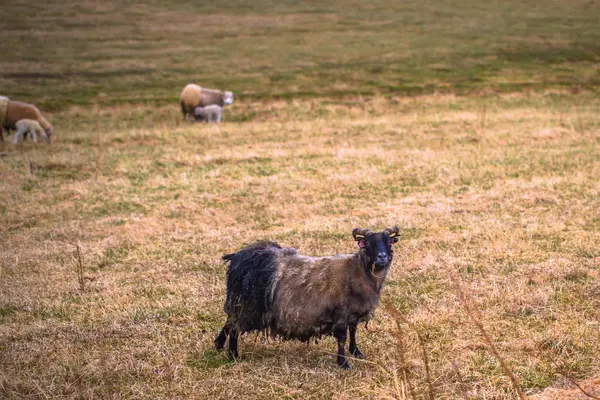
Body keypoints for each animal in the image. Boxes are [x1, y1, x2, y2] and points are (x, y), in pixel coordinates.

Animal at [214, 227, 398, 368]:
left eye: (388, 242)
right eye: (368, 243)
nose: (382, 257)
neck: (358, 270)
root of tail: (239, 257)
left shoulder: (354, 312)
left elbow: (353, 332)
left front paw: (356, 352)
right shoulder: (340, 313)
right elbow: (342, 338)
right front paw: (343, 363)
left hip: (239, 303)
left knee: (229, 322)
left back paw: (218, 344)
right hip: (246, 306)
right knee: (234, 327)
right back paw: (233, 355)